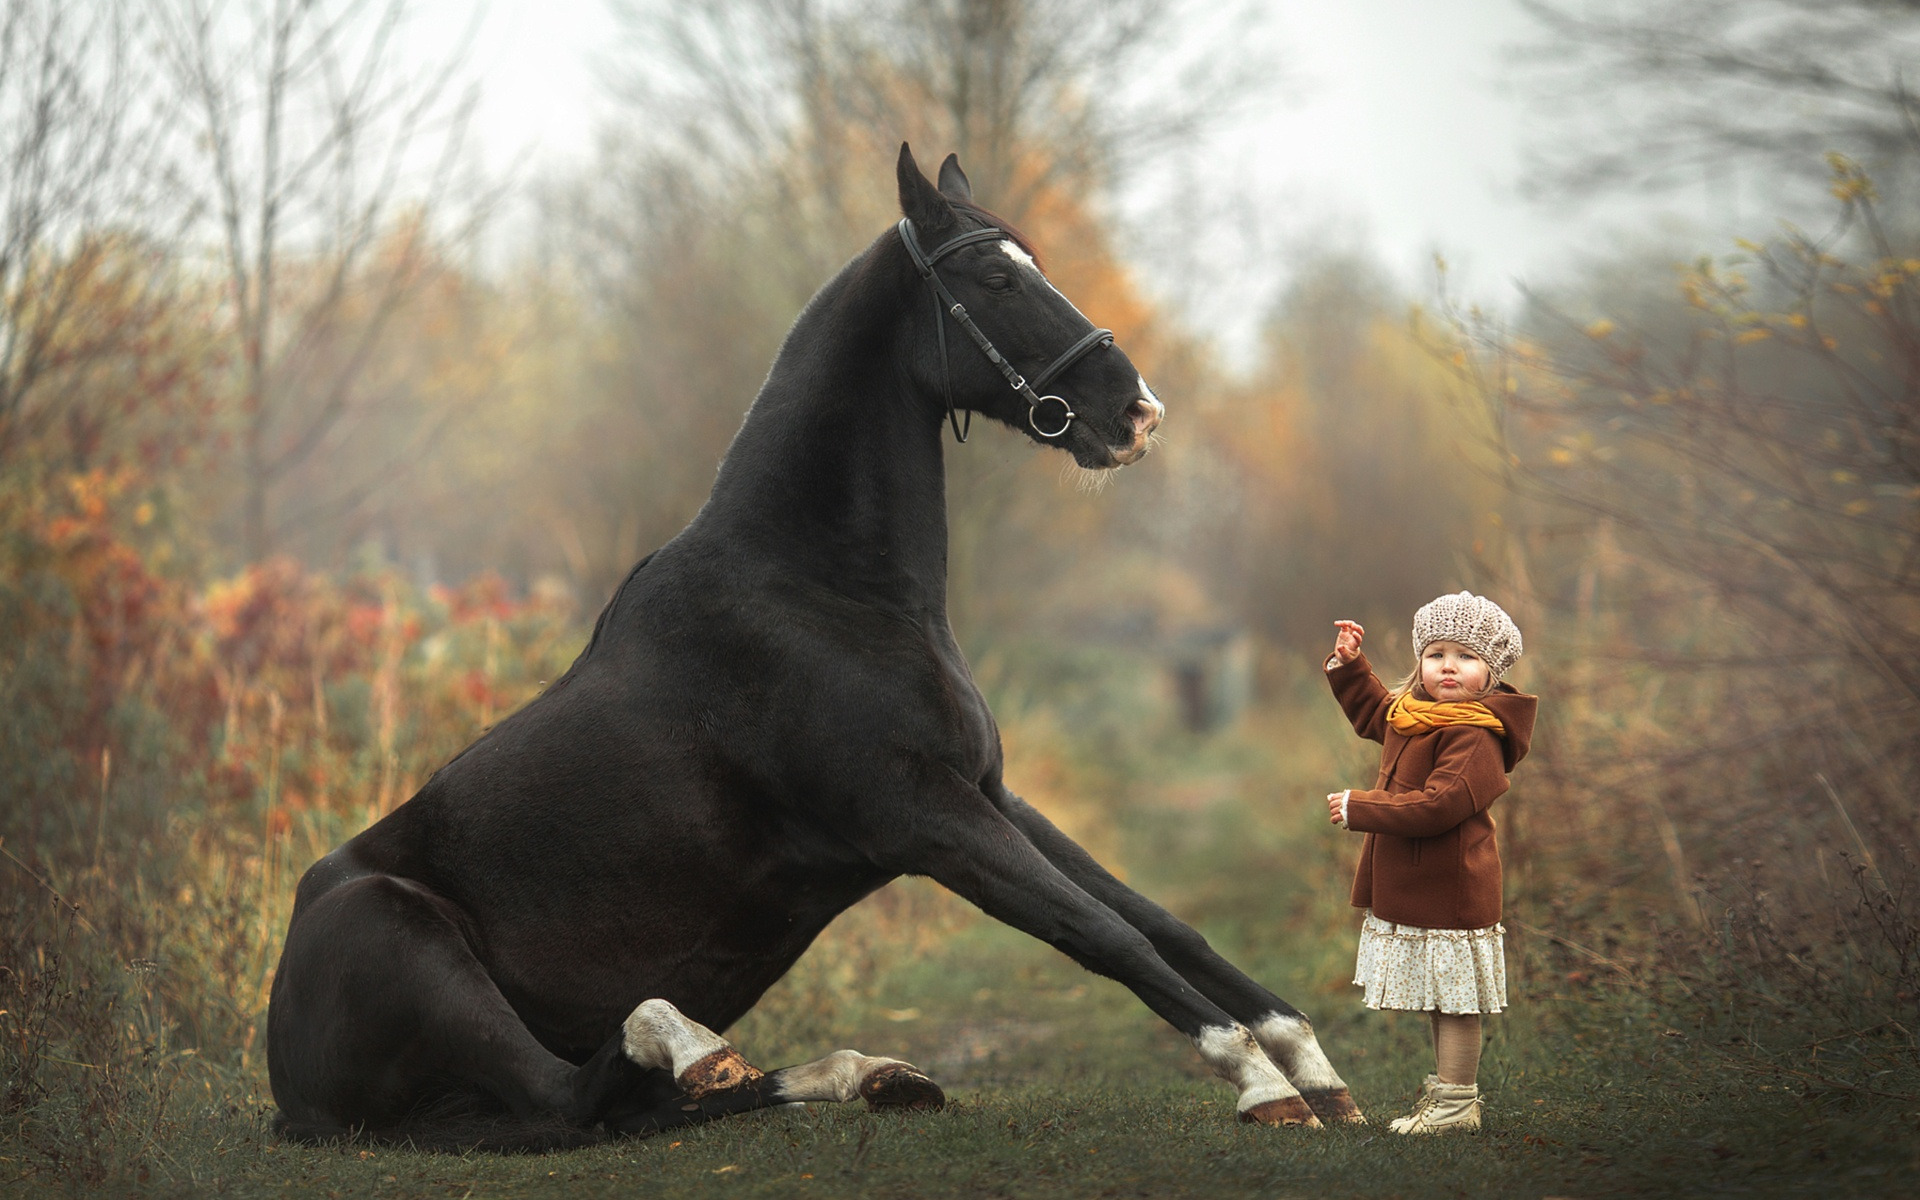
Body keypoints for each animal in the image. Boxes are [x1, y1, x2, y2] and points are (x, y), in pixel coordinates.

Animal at [266, 144, 1367, 1144]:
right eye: (997, 279)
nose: (1137, 412)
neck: (823, 589)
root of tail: (289, 1091)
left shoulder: (988, 793)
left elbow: (1159, 920)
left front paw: (1315, 1068)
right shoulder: (922, 817)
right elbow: (1099, 932)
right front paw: (1261, 1086)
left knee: (638, 1107)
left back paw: (868, 1075)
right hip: (417, 946)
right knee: (574, 1098)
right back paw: (698, 1040)